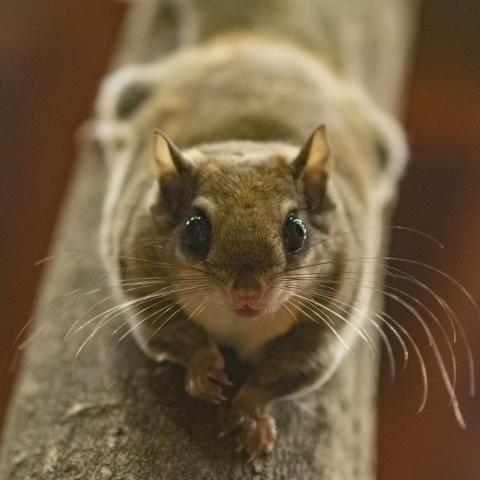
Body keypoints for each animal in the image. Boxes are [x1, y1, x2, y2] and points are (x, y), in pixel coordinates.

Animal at [94, 20, 408, 460]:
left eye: (297, 230)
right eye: (195, 228)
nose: (248, 292)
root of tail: (264, 41)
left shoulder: (329, 319)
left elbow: (286, 371)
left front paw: (250, 411)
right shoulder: (140, 278)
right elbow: (175, 333)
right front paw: (204, 370)